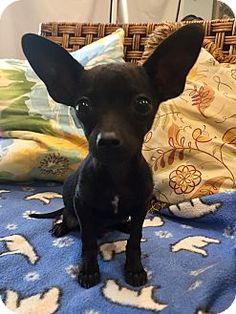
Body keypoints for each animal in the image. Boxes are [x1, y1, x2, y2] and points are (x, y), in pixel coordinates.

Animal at [21, 24, 204, 290]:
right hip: (74, 213)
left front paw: (134, 268)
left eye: (142, 103)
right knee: (69, 218)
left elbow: (135, 239)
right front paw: (88, 270)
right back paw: (61, 225)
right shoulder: (83, 208)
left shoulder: (140, 207)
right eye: (83, 106)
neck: (116, 172)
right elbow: (87, 242)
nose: (107, 141)